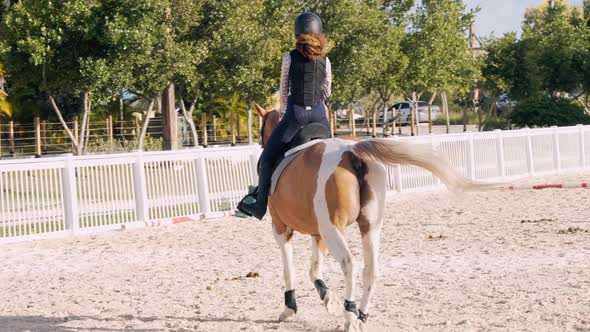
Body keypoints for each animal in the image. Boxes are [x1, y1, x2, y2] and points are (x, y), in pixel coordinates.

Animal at [254, 102, 486, 330]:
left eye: (261, 129)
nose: (261, 143)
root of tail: (351, 151)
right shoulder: (317, 233)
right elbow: (314, 270)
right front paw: (329, 299)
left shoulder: (282, 229)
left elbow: (289, 268)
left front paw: (290, 309)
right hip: (369, 226)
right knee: (371, 269)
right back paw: (361, 315)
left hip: (333, 229)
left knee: (349, 264)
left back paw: (349, 316)